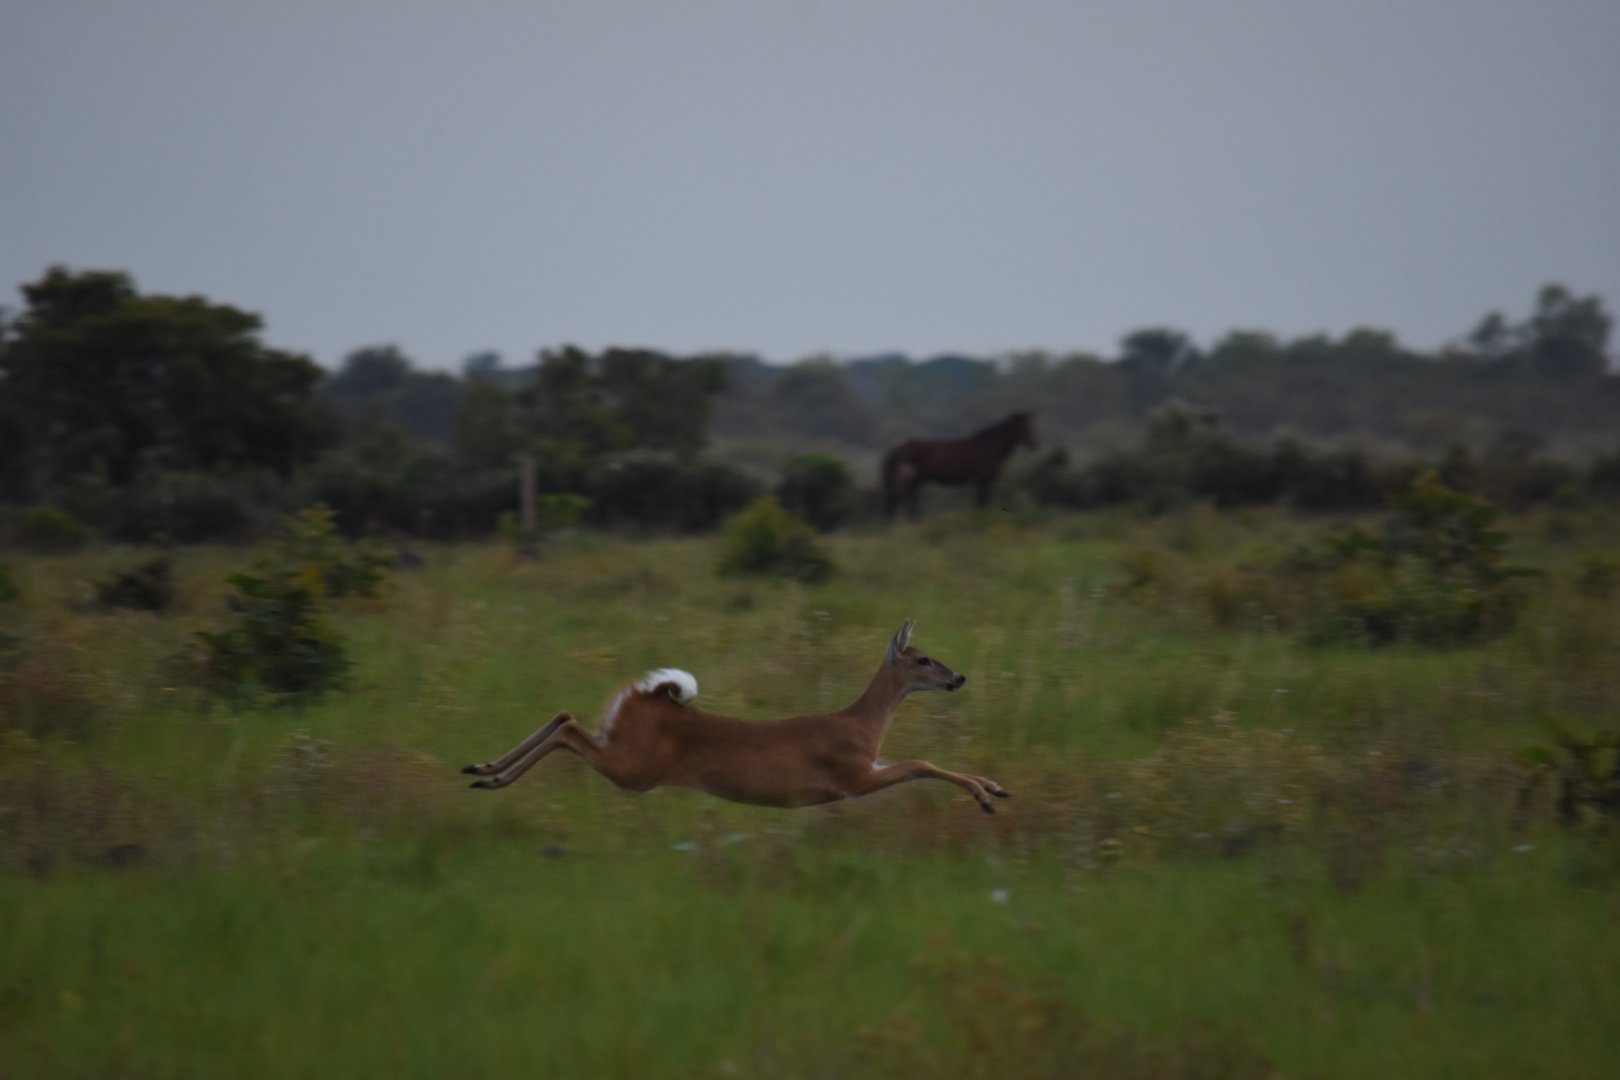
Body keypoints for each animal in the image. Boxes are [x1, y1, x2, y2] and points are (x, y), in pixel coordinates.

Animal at [462, 619, 1010, 813]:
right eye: (923, 660)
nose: (958, 677)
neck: (862, 725)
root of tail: (648, 696)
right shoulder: (851, 778)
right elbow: (920, 763)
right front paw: (986, 797)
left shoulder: (868, 766)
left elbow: (924, 762)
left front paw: (993, 786)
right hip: (634, 768)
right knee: (569, 728)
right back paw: (490, 777)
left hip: (620, 750)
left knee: (562, 715)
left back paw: (481, 769)